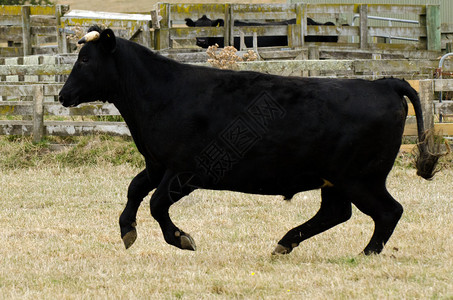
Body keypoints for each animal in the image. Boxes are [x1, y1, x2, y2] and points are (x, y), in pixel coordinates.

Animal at [58, 26, 440, 255]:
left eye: (86, 59)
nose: (63, 95)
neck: (164, 92)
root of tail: (384, 83)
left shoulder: (185, 172)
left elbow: (155, 203)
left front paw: (181, 239)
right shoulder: (156, 164)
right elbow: (135, 190)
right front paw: (127, 230)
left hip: (362, 178)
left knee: (388, 211)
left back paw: (364, 254)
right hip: (338, 181)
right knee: (336, 213)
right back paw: (285, 244)